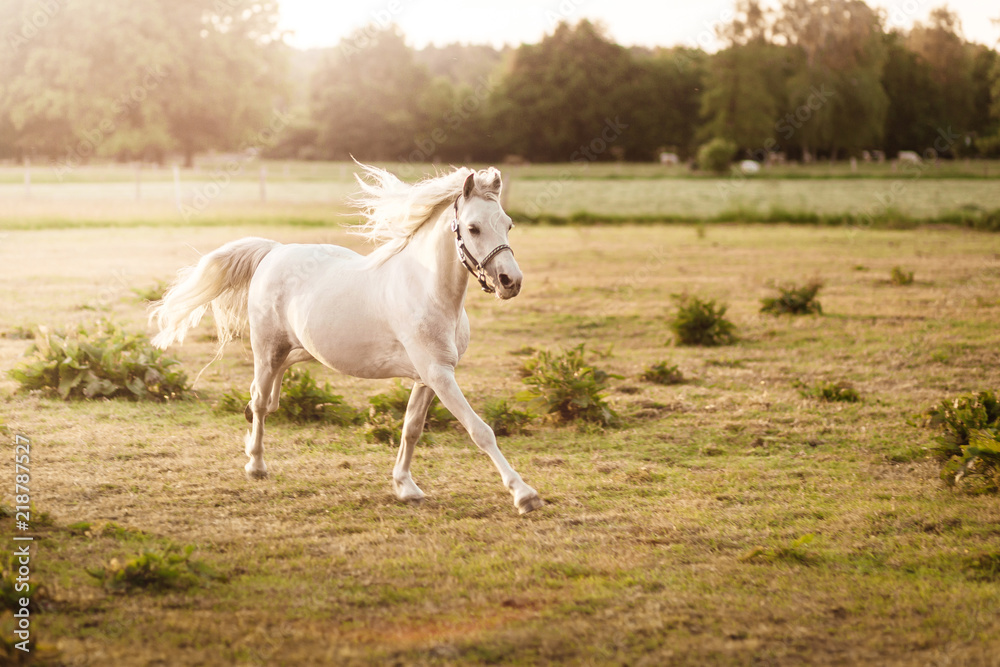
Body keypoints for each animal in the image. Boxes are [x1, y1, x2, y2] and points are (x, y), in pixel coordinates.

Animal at [150, 163, 543, 514]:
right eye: (473, 228)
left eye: (508, 224)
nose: (511, 281)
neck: (428, 290)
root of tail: (274, 251)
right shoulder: (438, 374)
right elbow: (480, 431)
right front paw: (524, 495)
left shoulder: (429, 377)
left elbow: (411, 429)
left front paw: (405, 486)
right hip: (267, 349)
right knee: (260, 402)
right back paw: (256, 465)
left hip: (301, 351)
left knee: (266, 391)